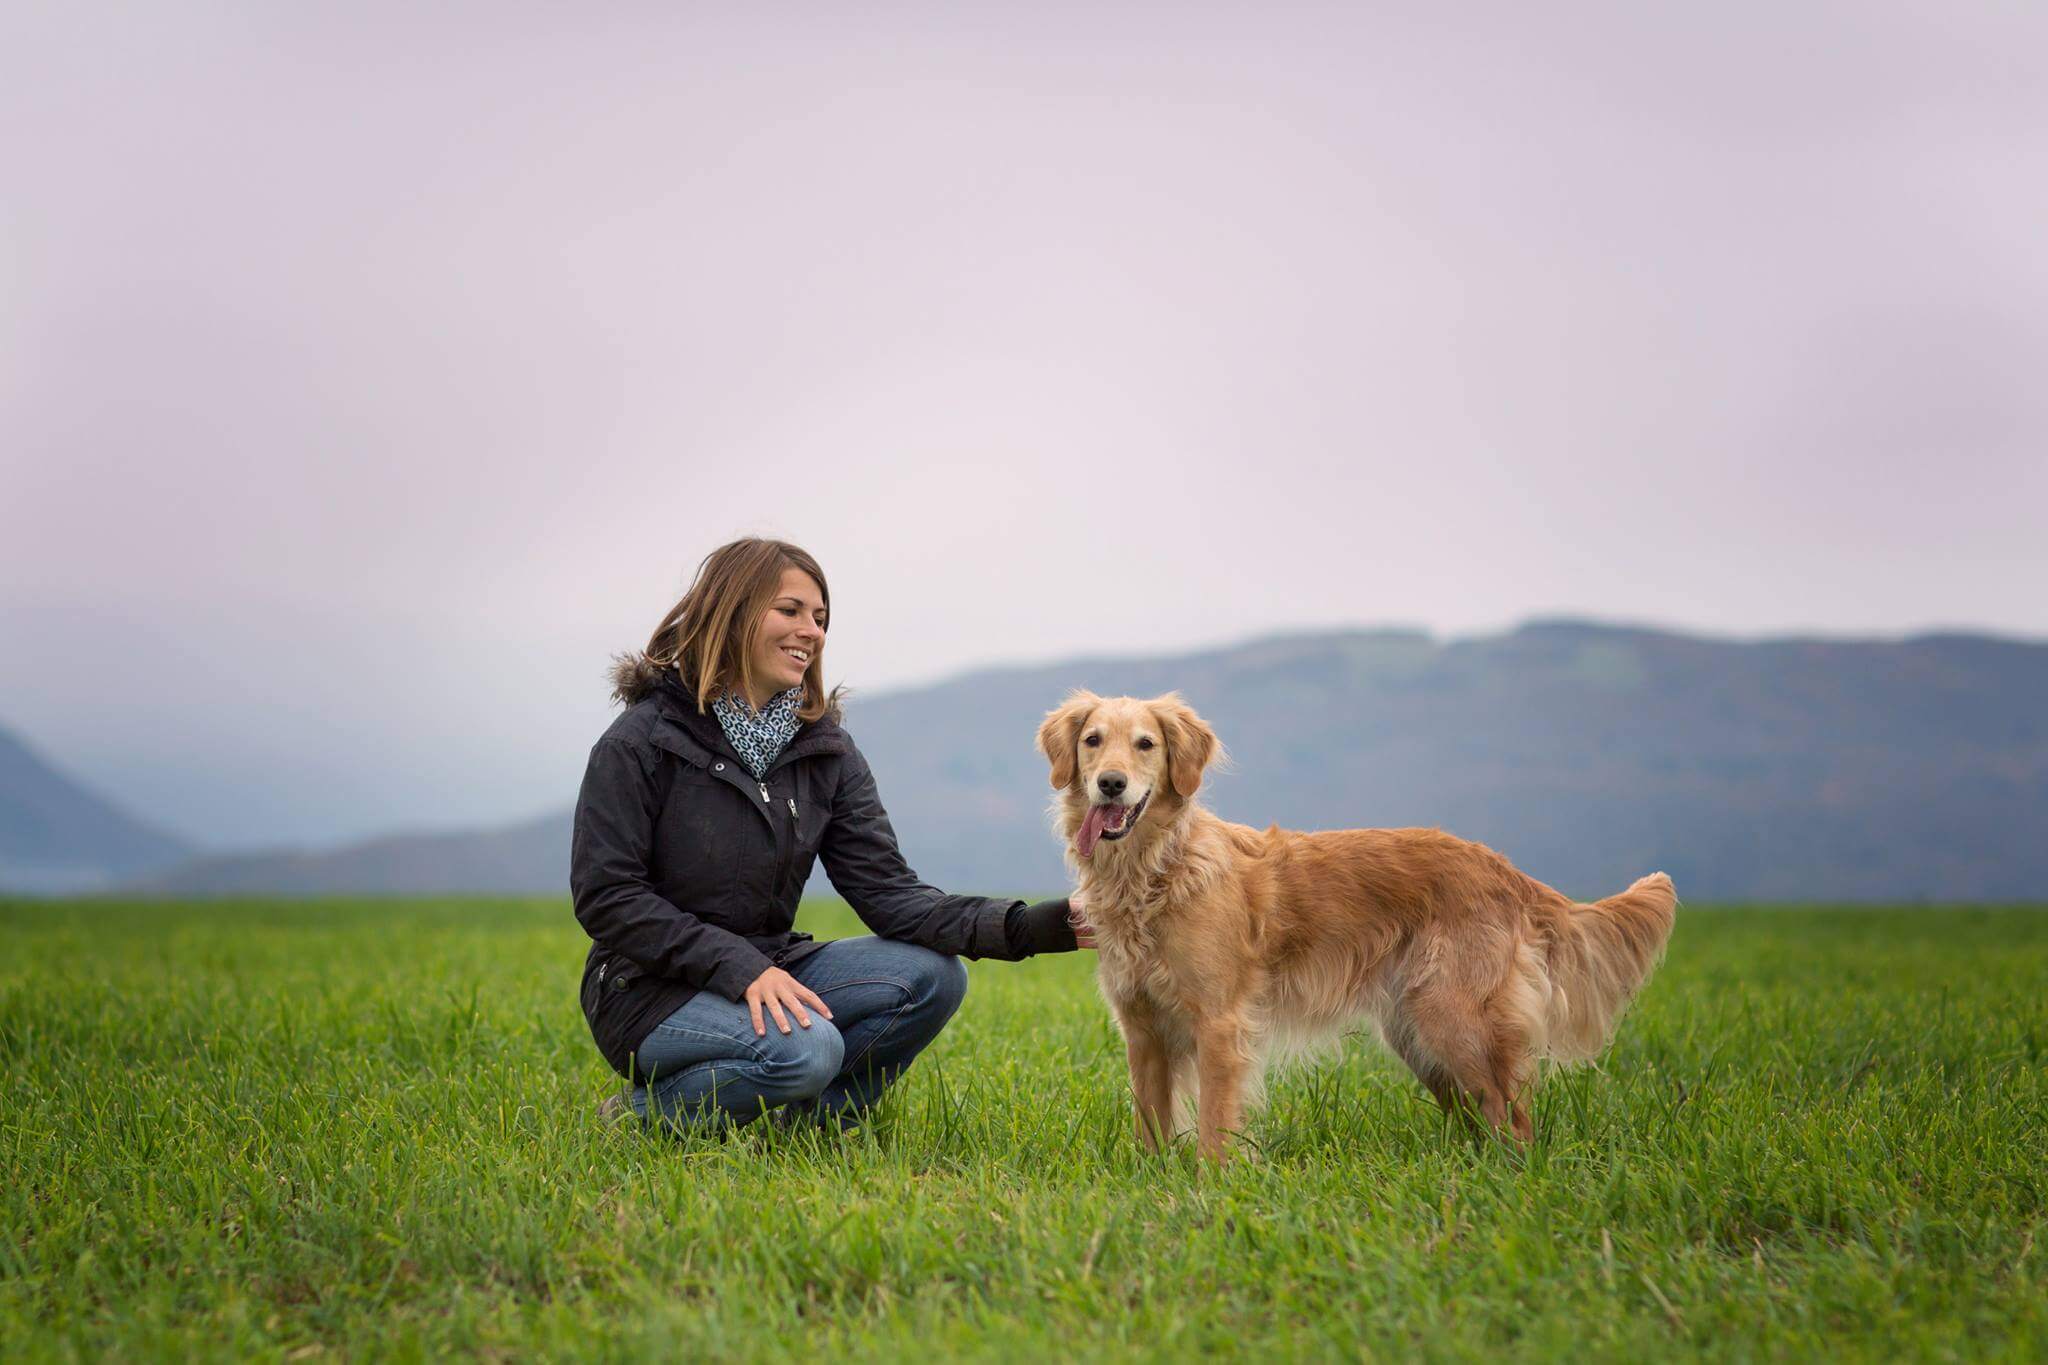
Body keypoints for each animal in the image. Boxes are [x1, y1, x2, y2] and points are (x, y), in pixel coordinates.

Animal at [1032, 687, 1671, 1162]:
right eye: (1092, 741)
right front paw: (1153, 1179)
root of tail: (1505, 869)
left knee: (1512, 1117)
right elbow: (1151, 1123)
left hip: (1452, 1017)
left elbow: (1215, 1125)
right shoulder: (1141, 1029)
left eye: (1146, 744)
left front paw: (1209, 1188)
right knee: (1484, 1116)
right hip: (1419, 1035)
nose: (1110, 783)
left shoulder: (1219, 1023)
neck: (1154, 871)